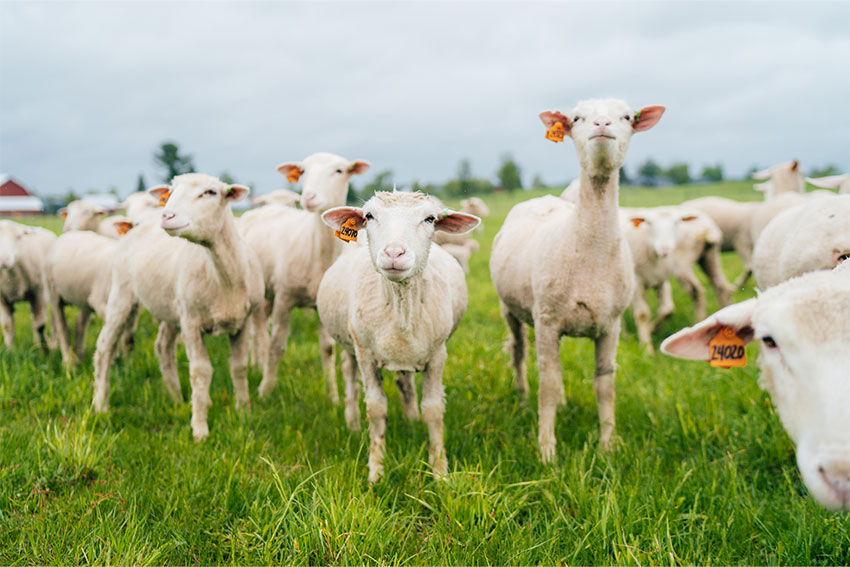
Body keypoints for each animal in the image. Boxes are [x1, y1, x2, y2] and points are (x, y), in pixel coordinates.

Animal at [0, 220, 56, 349]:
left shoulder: (40, 293)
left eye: (19, 237)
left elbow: (40, 325)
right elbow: (7, 326)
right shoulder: (2, 298)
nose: (4, 260)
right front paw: (11, 350)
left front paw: (43, 349)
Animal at [92, 174, 264, 441]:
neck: (225, 279)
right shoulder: (191, 323)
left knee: (163, 347)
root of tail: (139, 224)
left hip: (170, 306)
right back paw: (100, 403)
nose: (167, 216)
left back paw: (177, 398)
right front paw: (200, 429)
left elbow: (239, 367)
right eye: (170, 191)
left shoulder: (241, 323)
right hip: (122, 293)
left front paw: (244, 411)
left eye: (210, 192)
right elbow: (200, 372)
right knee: (104, 347)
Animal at [237, 152, 370, 401]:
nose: (308, 197)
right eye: (304, 171)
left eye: (339, 171)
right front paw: (265, 391)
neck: (316, 250)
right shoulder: (284, 298)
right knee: (257, 331)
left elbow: (327, 349)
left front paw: (332, 395)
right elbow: (277, 345)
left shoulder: (321, 305)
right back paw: (257, 366)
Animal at [317, 191, 480, 481]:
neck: (400, 301)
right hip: (350, 345)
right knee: (349, 377)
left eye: (430, 218)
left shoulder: (437, 355)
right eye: (369, 216)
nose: (394, 253)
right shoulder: (366, 355)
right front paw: (376, 472)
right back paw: (352, 423)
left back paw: (410, 420)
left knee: (405, 385)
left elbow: (433, 410)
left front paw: (440, 472)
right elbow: (377, 409)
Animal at [490, 98, 665, 461]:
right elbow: (547, 384)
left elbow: (604, 384)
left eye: (627, 117)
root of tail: (543, 199)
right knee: (519, 353)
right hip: (510, 309)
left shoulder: (610, 325)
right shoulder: (546, 321)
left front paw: (608, 444)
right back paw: (522, 396)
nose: (602, 125)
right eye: (577, 119)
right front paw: (546, 451)